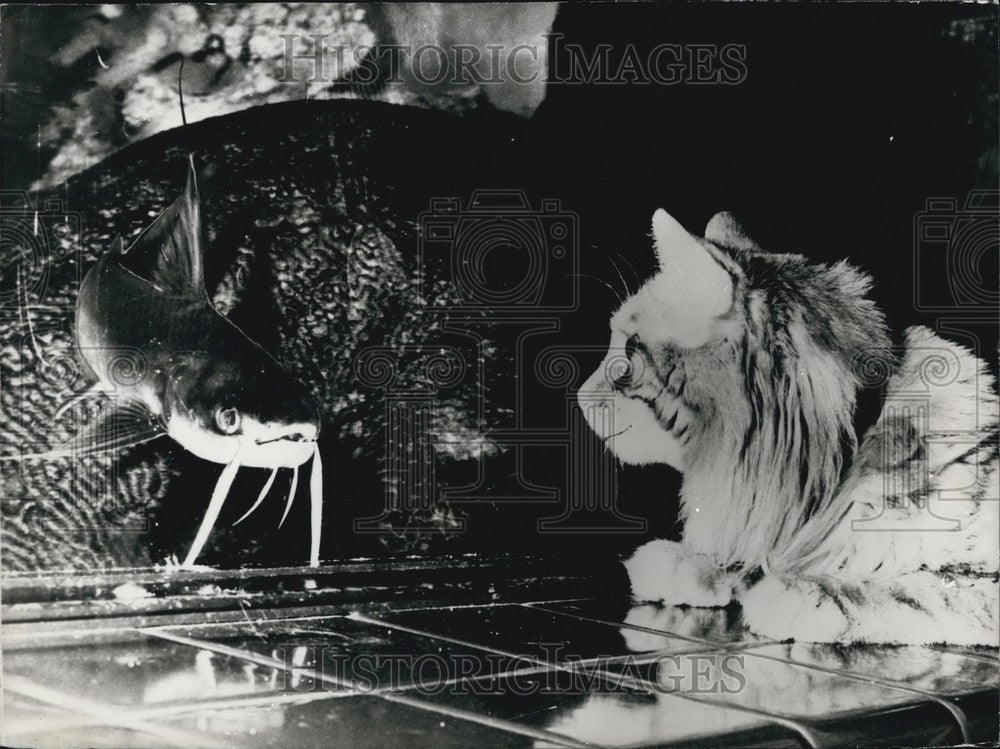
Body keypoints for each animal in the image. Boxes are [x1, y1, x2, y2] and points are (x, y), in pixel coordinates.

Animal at [584, 206, 996, 644]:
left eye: (628, 353)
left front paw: (798, 593)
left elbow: (915, 588)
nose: (577, 396)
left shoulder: (978, 581)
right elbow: (745, 556)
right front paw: (692, 566)